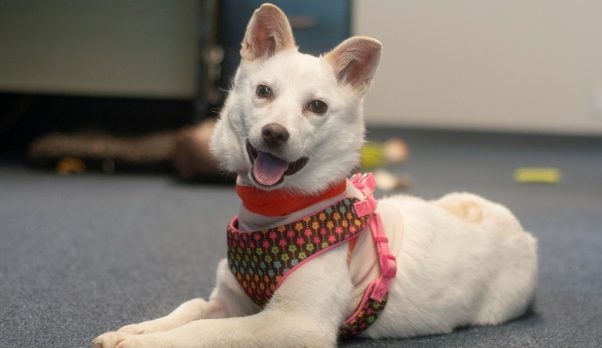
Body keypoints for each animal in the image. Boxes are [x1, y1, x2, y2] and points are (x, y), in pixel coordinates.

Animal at [96, 3, 536, 348]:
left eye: (317, 106)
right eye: (263, 91)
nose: (275, 133)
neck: (277, 212)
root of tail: (518, 228)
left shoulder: (295, 324)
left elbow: (205, 333)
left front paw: (147, 342)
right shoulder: (228, 302)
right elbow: (188, 310)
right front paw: (136, 331)